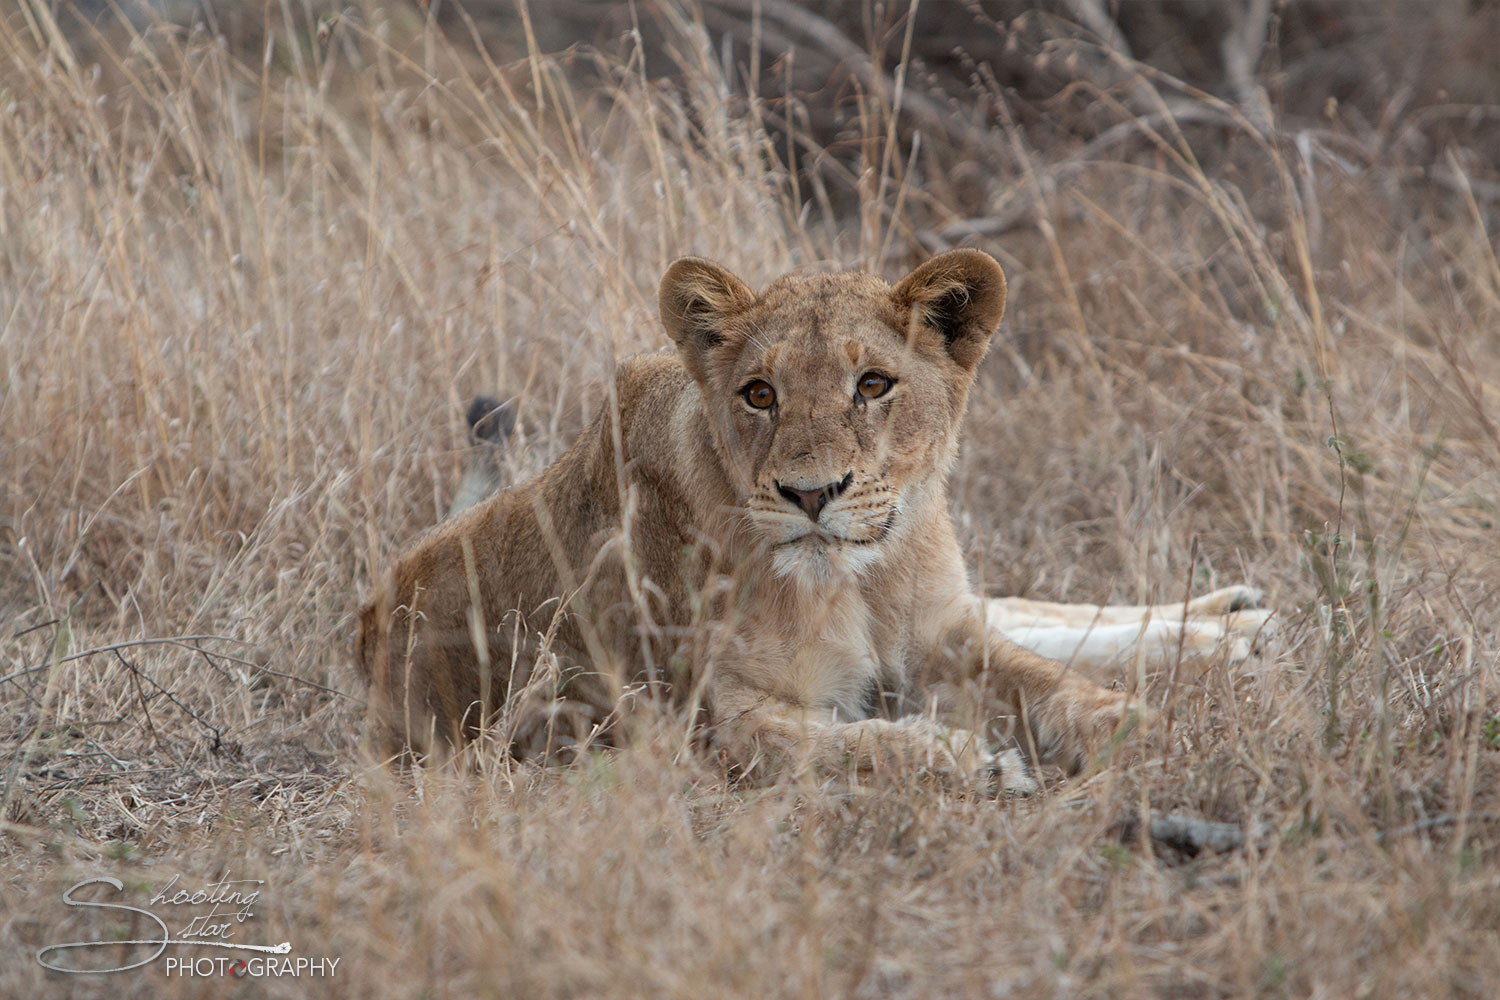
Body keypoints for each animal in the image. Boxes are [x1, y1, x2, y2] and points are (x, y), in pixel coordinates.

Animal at [356, 249, 1268, 790]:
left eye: (873, 385)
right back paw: (1237, 632)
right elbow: (848, 740)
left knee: (1015, 609)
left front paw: (1143, 727)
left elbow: (1052, 685)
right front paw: (973, 759)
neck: (857, 578)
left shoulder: (940, 639)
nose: (810, 493)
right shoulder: (707, 723)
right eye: (760, 394)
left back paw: (1232, 626)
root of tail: (372, 606)